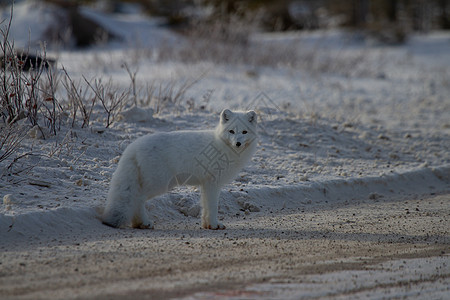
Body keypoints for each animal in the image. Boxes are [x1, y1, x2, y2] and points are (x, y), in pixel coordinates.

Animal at [102, 109, 256, 230]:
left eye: (244, 132)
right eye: (231, 131)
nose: (238, 143)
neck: (222, 146)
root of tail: (133, 146)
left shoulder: (206, 184)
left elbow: (205, 207)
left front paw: (207, 225)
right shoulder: (212, 183)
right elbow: (212, 207)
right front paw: (213, 224)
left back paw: (138, 224)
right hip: (159, 183)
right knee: (138, 199)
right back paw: (144, 223)